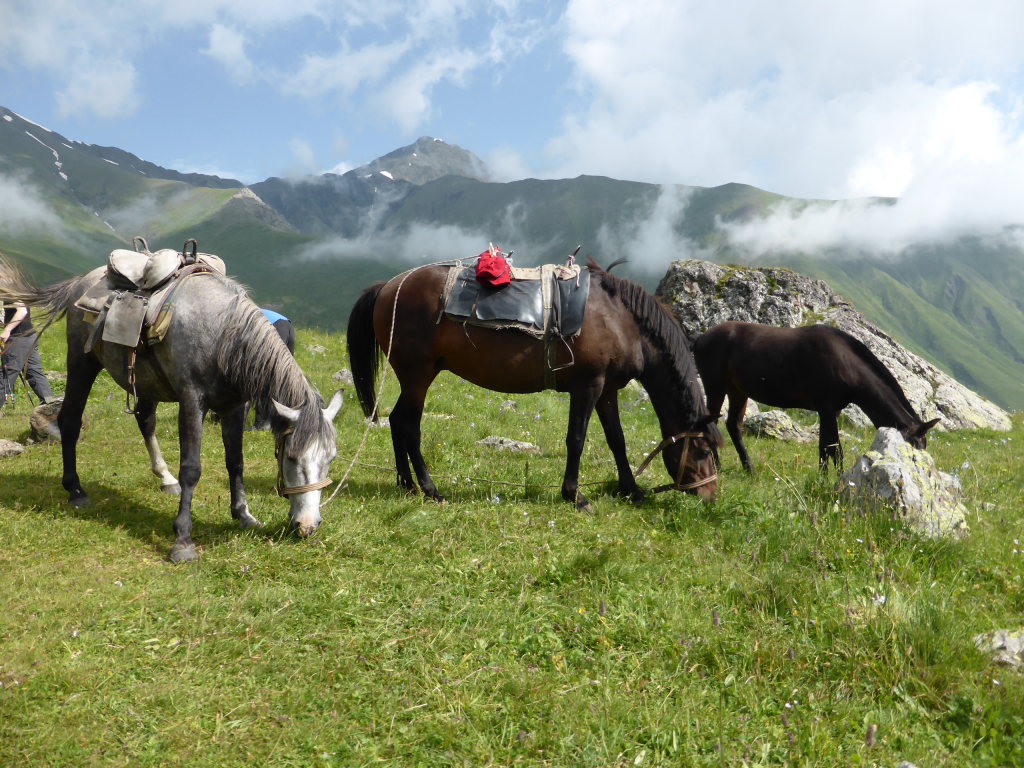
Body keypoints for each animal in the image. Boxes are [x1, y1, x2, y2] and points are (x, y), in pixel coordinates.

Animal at [0, 256, 344, 561]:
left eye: (330, 459)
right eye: (291, 457)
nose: (308, 526)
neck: (224, 336)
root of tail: (80, 283)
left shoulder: (234, 407)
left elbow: (236, 462)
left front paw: (244, 515)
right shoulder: (192, 403)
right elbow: (192, 469)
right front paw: (183, 540)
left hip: (145, 381)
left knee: (145, 420)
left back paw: (165, 478)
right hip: (82, 364)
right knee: (70, 420)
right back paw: (76, 491)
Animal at [344, 264, 720, 512]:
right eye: (702, 451)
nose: (710, 495)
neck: (621, 321)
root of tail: (389, 286)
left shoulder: (608, 391)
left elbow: (617, 441)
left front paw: (632, 490)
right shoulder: (588, 386)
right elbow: (577, 440)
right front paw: (575, 495)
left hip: (415, 377)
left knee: (396, 422)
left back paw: (407, 485)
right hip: (417, 377)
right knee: (408, 426)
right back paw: (429, 489)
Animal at [692, 319, 937, 475]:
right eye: (913, 446)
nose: (918, 470)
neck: (846, 363)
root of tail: (700, 338)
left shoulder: (831, 411)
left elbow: (824, 446)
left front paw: (823, 476)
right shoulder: (826, 408)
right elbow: (834, 449)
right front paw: (836, 478)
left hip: (738, 391)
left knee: (733, 425)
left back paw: (749, 468)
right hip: (716, 386)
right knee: (711, 424)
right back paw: (717, 467)